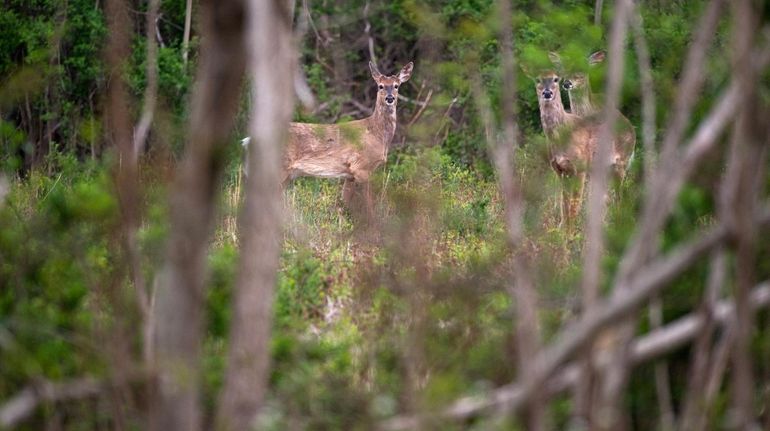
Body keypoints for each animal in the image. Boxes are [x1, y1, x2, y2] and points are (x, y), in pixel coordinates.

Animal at [244, 60, 414, 219]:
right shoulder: (361, 167)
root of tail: (249, 140)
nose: (390, 98)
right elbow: (369, 206)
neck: (376, 133)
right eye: (380, 86)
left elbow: (344, 203)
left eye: (397, 86)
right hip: (277, 166)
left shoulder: (350, 174)